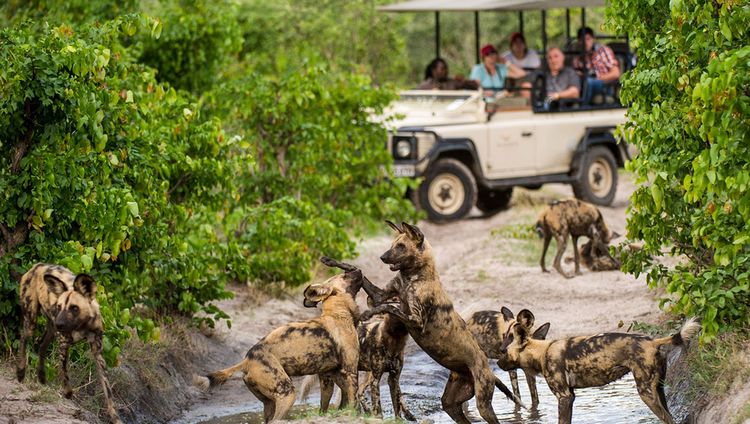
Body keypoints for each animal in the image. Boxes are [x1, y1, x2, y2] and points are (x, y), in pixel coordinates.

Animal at [15, 264, 122, 424]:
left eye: (74, 308)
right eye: (59, 306)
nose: (59, 323)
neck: (81, 325)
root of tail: (37, 266)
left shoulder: (97, 352)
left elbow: (107, 389)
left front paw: (115, 417)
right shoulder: (64, 343)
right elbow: (64, 371)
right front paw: (68, 392)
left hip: (50, 329)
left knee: (41, 346)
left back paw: (41, 376)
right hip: (32, 322)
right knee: (23, 338)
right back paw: (21, 372)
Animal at [197, 270, 364, 422]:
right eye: (344, 275)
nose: (359, 270)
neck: (338, 313)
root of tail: (247, 359)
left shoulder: (328, 376)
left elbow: (326, 405)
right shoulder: (350, 371)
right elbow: (353, 401)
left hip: (270, 402)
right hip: (287, 394)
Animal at [326, 222, 524, 424]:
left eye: (401, 246)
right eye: (392, 244)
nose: (382, 257)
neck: (413, 277)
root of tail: (489, 370)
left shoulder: (415, 320)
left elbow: (391, 307)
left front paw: (369, 312)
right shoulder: (380, 295)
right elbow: (359, 271)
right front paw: (331, 261)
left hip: (483, 405)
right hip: (451, 404)